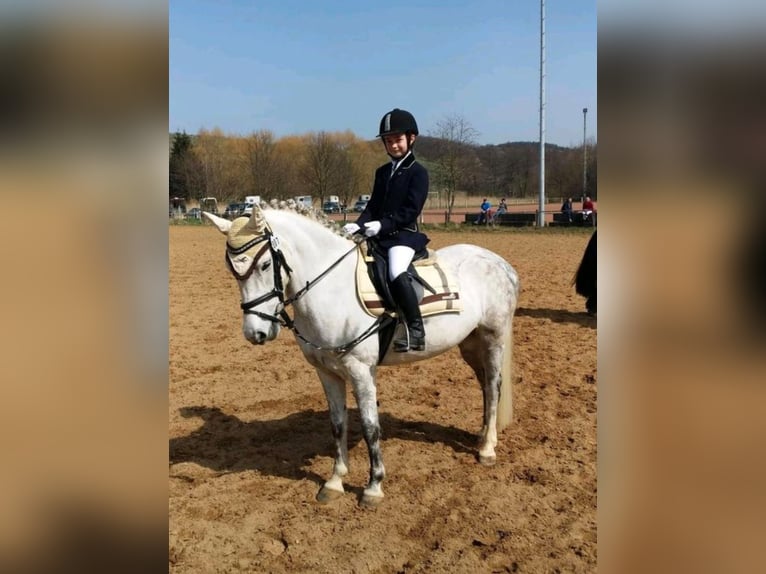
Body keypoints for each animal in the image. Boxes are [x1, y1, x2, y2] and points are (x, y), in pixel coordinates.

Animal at [204, 202, 520, 508]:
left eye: (265, 264)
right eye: (232, 269)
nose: (255, 333)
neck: (332, 289)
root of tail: (500, 263)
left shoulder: (360, 371)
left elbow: (370, 427)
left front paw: (373, 487)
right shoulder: (326, 371)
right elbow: (337, 424)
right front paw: (334, 482)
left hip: (493, 338)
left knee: (493, 386)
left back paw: (487, 449)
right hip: (470, 343)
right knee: (485, 386)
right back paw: (482, 435)